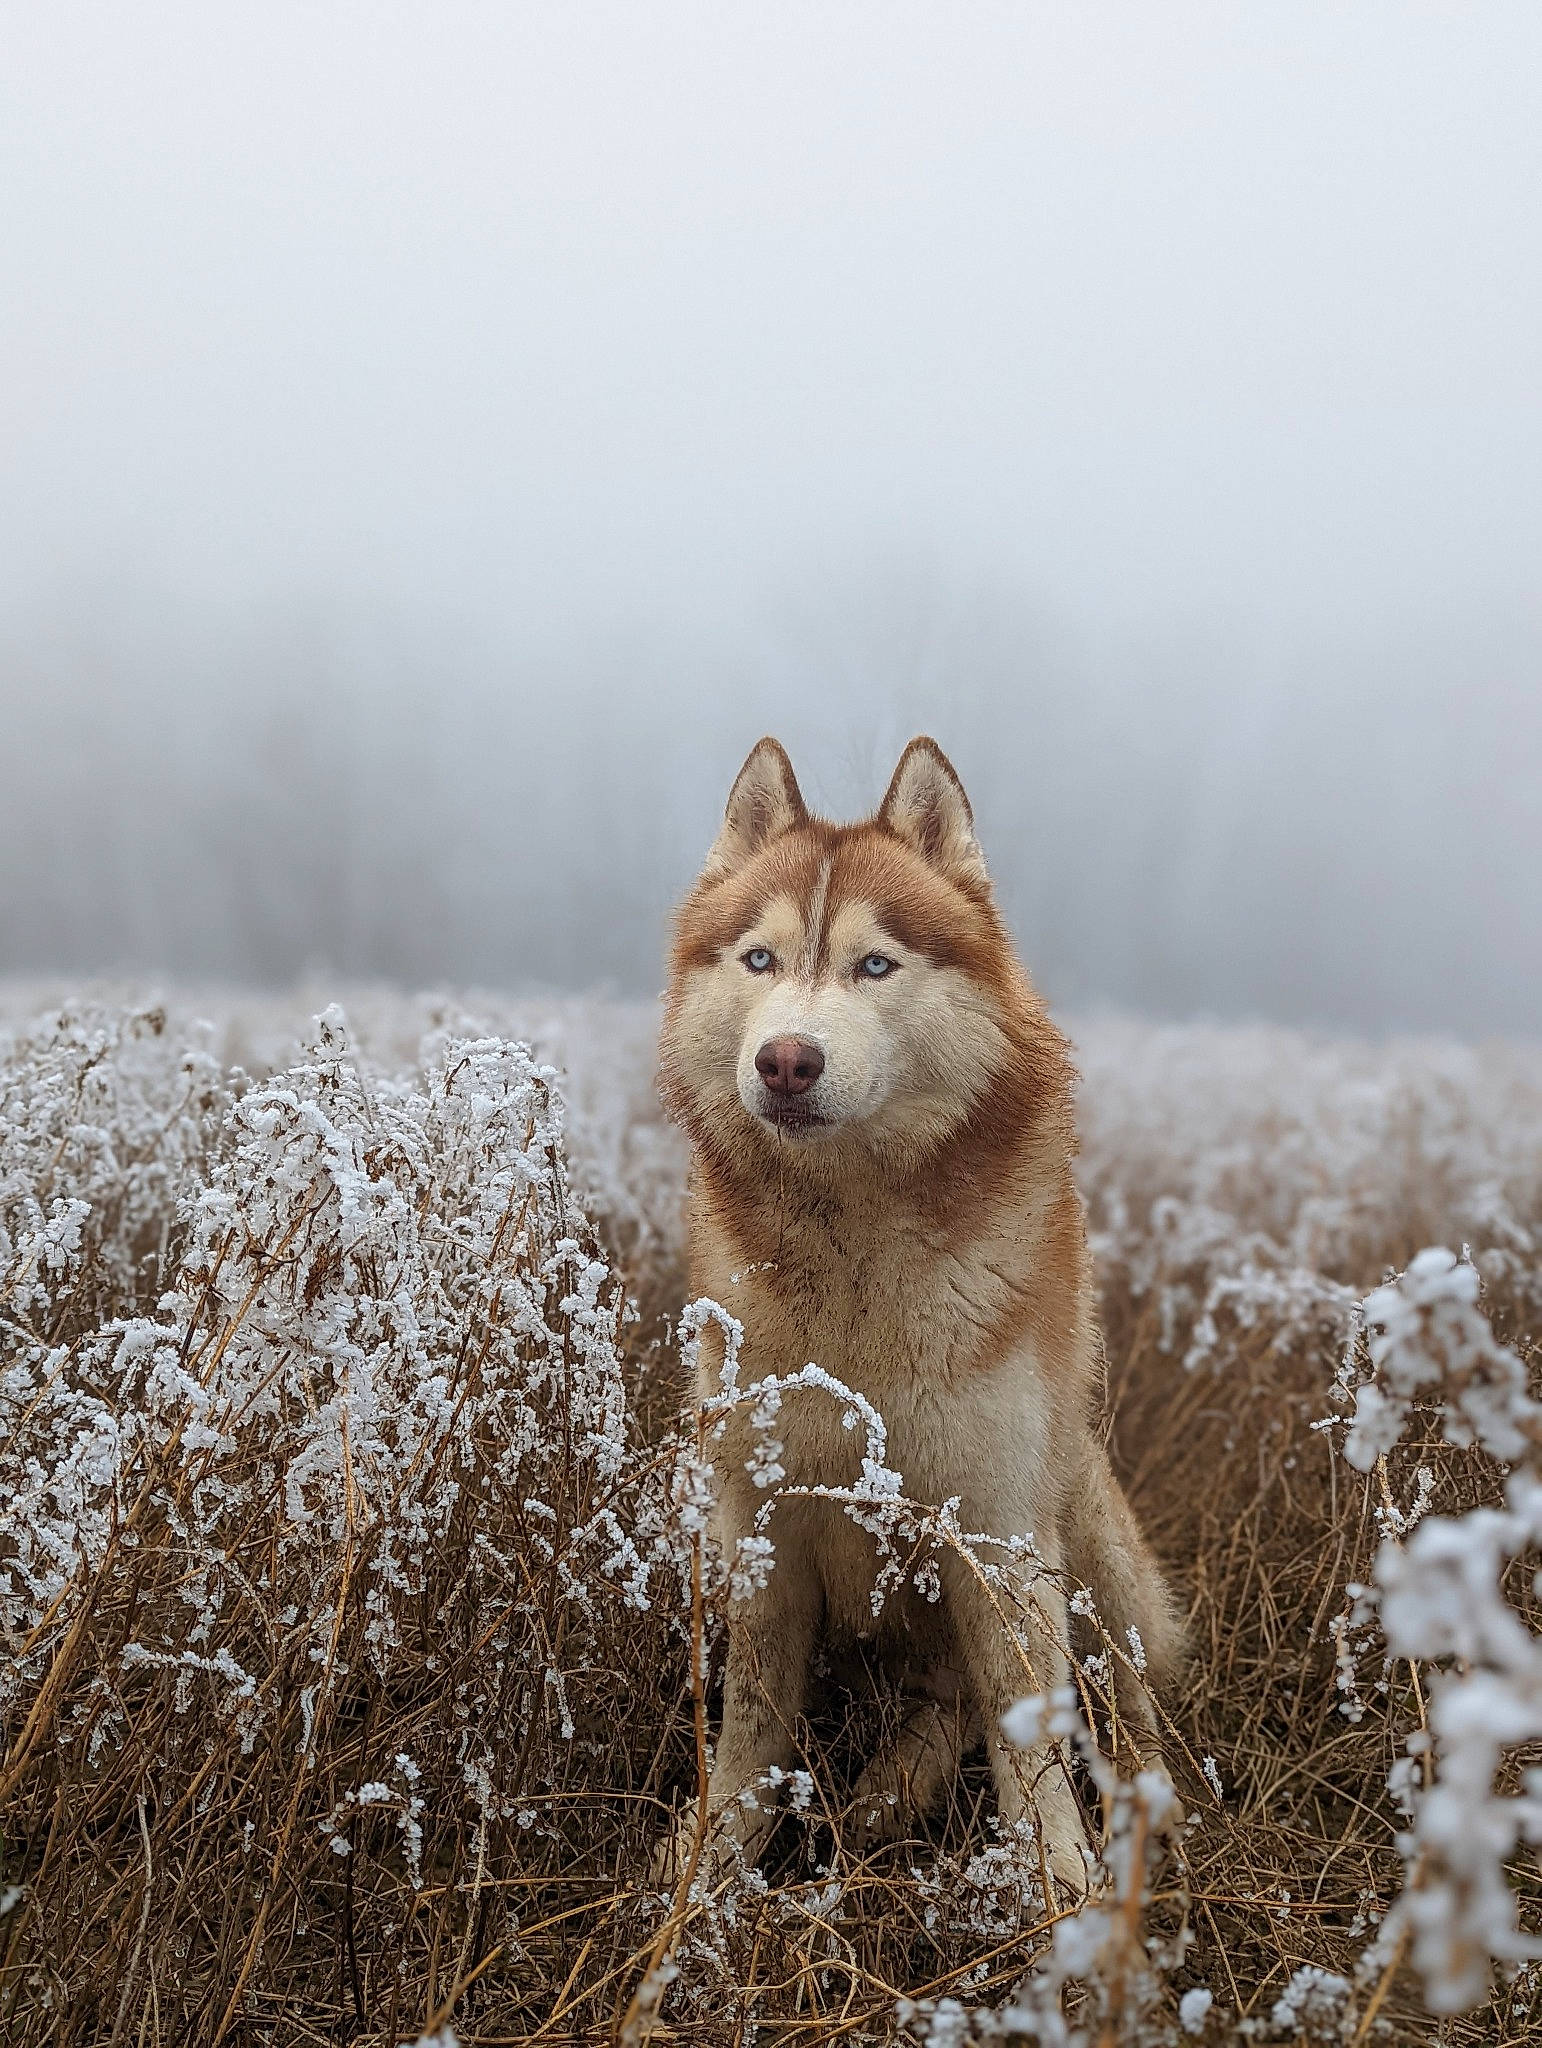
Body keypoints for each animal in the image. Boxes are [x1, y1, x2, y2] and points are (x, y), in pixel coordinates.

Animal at [657, 735, 1183, 1898]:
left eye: (875, 965)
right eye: (759, 960)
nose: (787, 1059)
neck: (855, 1247)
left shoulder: (998, 1526)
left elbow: (1026, 1723)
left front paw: (1059, 1879)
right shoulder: (759, 1521)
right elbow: (754, 1717)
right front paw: (714, 1862)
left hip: (1084, 1512)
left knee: (1117, 1699)